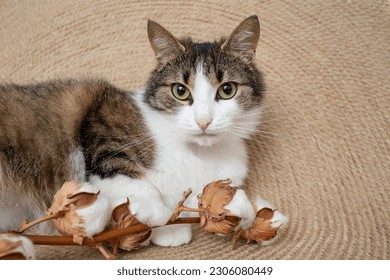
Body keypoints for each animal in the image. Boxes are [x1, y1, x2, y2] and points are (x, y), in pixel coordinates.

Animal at [0, 16, 278, 246]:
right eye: (180, 91)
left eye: (227, 90)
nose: (203, 121)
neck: (199, 154)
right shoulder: (99, 119)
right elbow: (129, 178)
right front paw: (160, 216)